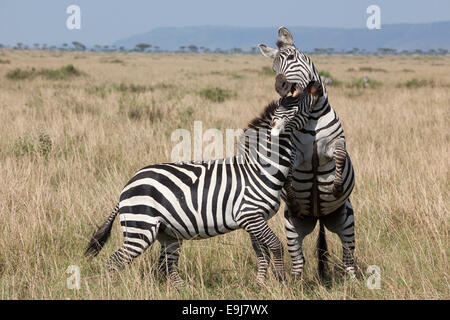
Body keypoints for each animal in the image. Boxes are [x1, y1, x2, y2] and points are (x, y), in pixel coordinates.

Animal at [85, 81, 324, 286]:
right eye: (301, 102)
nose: (317, 87)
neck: (261, 168)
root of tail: (127, 186)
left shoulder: (255, 220)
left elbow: (261, 252)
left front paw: (260, 285)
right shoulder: (250, 215)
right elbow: (275, 246)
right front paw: (280, 280)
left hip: (168, 233)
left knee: (165, 265)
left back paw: (183, 290)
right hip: (141, 229)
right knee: (116, 260)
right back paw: (114, 287)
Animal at [258, 26, 356, 278]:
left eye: (292, 57)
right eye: (273, 68)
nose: (280, 87)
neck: (310, 116)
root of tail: (319, 217)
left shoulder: (337, 142)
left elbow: (339, 155)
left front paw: (336, 186)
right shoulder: (295, 152)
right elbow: (289, 171)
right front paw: (291, 194)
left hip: (346, 220)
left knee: (348, 255)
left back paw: (353, 281)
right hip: (293, 227)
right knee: (298, 260)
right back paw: (296, 283)